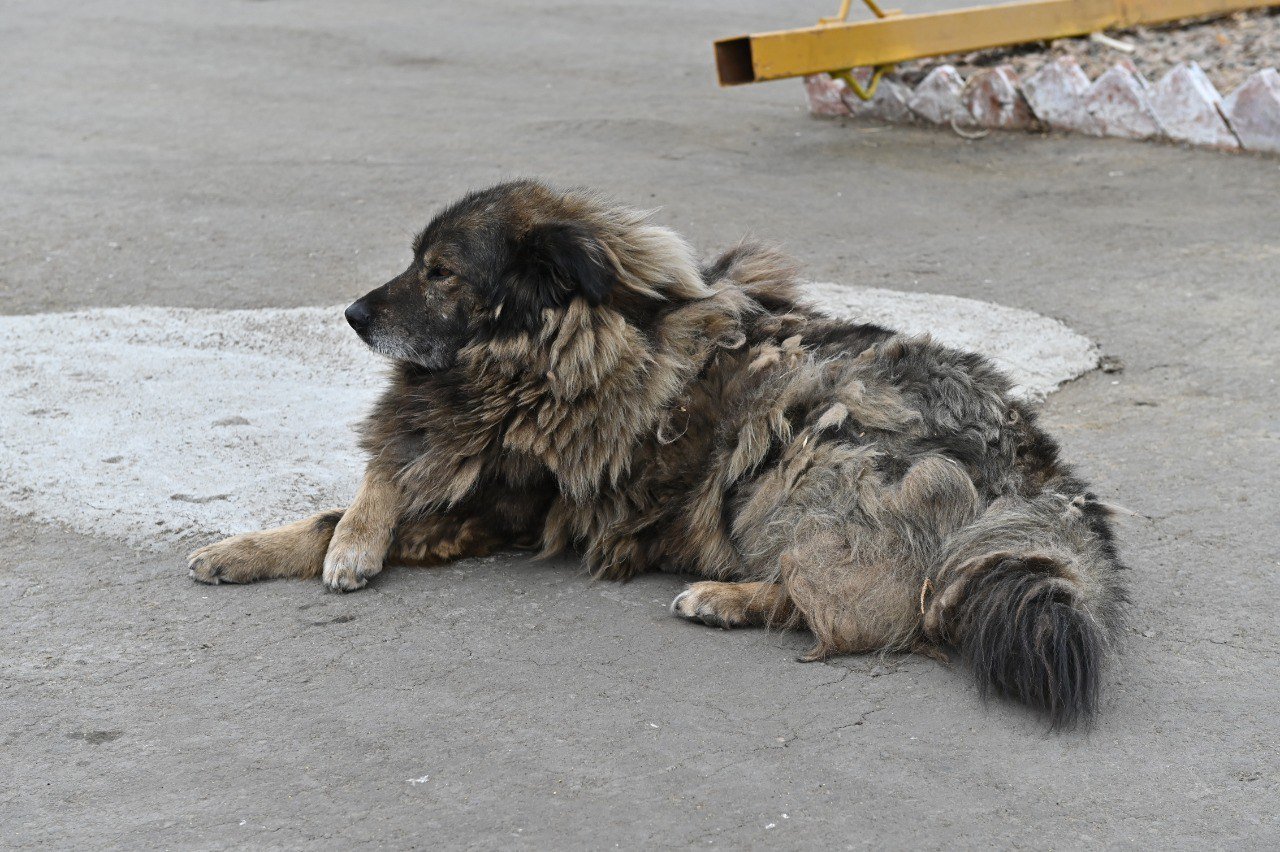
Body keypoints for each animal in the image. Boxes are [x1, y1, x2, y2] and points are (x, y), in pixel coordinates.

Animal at [185, 179, 1126, 721]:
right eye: (416, 261)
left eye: (442, 271)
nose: (351, 315)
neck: (547, 346)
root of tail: (1040, 470)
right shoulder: (435, 439)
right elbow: (365, 479)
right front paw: (263, 545)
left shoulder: (502, 505)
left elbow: (339, 511)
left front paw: (330, 550)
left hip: (787, 456)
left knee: (872, 613)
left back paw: (726, 597)